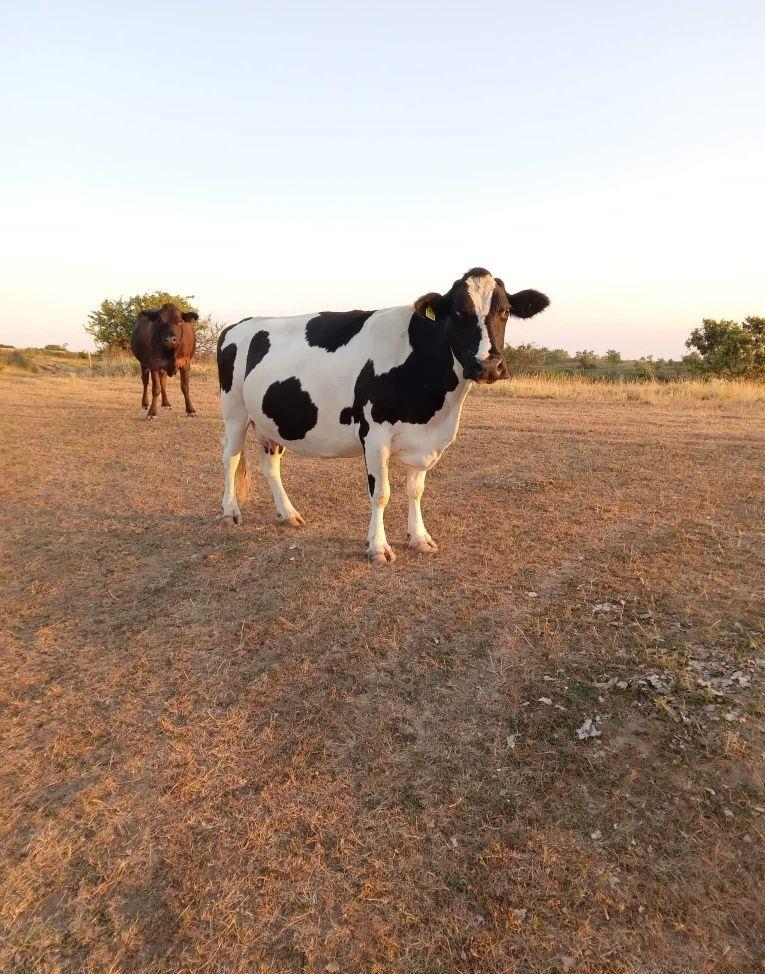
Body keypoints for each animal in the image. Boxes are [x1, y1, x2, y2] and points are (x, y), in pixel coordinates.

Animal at [217, 268, 549, 563]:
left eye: (505, 311)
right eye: (457, 313)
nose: (488, 365)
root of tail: (239, 324)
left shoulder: (424, 438)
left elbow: (416, 491)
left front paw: (420, 538)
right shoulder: (374, 435)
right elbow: (381, 493)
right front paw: (378, 547)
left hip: (270, 421)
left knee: (270, 465)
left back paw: (288, 514)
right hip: (234, 411)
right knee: (231, 457)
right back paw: (231, 512)